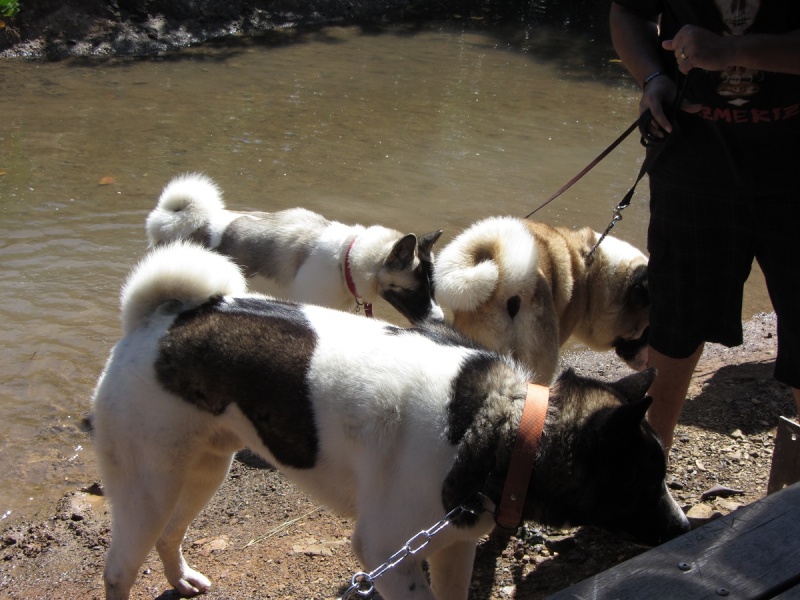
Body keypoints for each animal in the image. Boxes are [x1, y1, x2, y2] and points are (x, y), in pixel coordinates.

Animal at [89, 243, 688, 600]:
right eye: (643, 480)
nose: (684, 530)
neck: (505, 425)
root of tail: (164, 320)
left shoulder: (452, 546)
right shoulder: (388, 557)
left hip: (201, 469)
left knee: (170, 535)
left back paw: (182, 577)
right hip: (151, 484)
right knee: (119, 569)